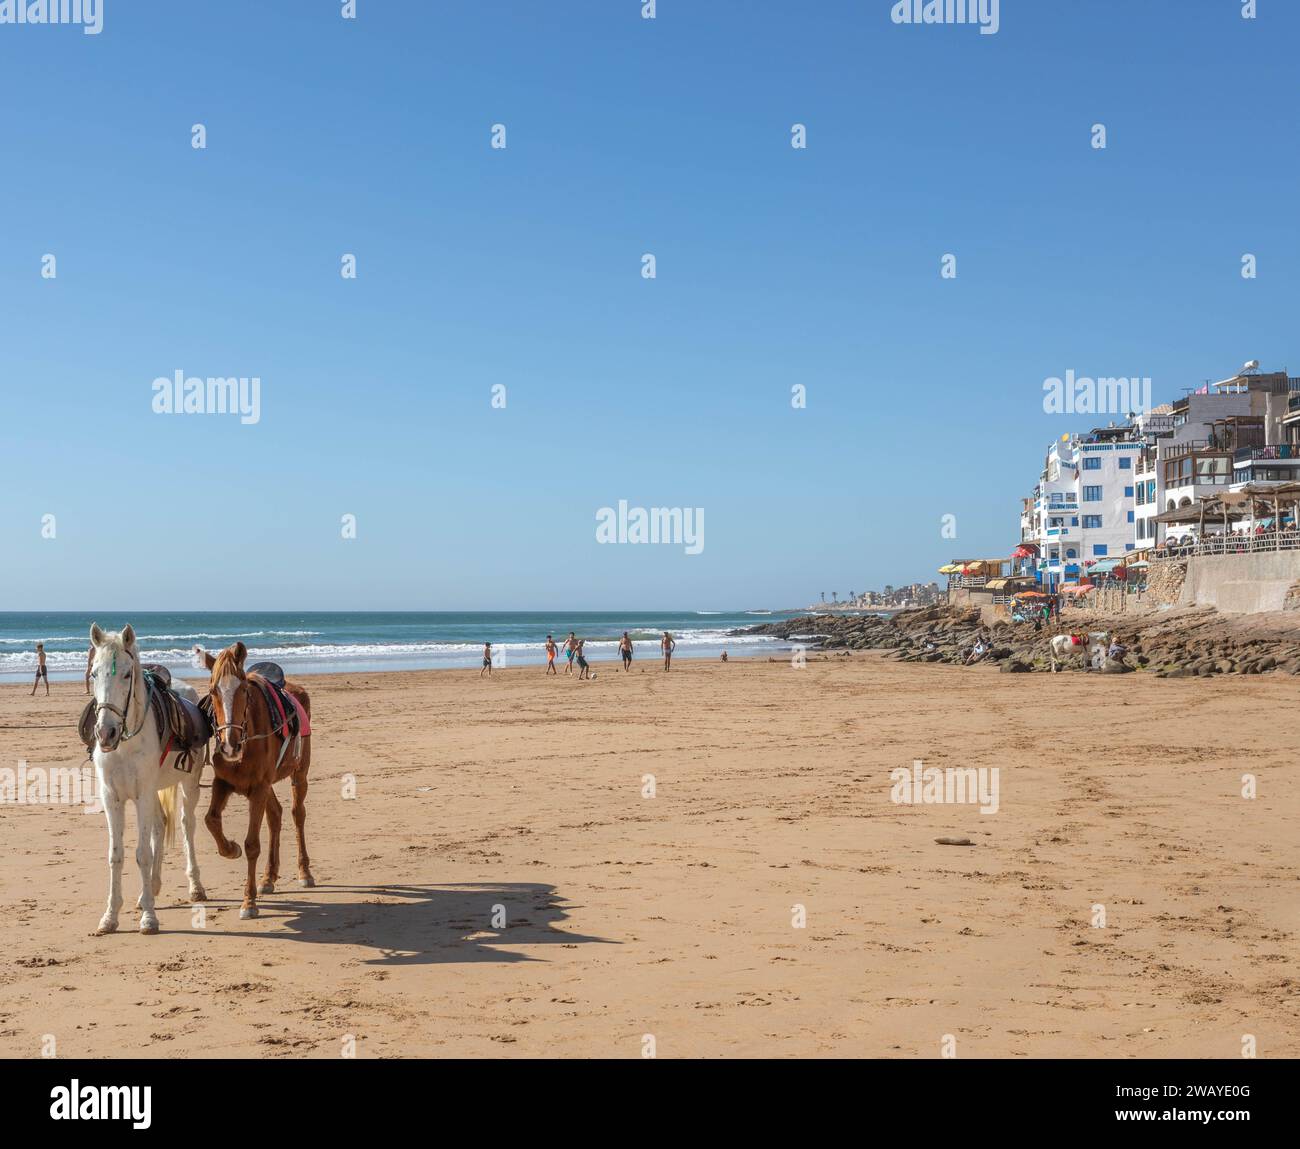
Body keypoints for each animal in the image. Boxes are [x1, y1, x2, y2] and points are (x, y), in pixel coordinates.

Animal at [89, 618, 208, 935]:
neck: (125, 744)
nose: (105, 732)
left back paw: (195, 886)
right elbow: (116, 855)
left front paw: (149, 919)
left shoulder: (142, 795)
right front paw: (110, 917)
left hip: (189, 785)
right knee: (159, 825)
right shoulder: (112, 797)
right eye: (94, 673)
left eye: (127, 674)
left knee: (186, 825)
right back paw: (150, 891)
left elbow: (142, 854)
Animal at [197, 642, 314, 920]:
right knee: (276, 815)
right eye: (213, 690)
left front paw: (248, 902)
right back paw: (269, 877)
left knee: (297, 815)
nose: (229, 745)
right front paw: (230, 848)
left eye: (243, 690)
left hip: (299, 774)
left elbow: (252, 845)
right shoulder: (223, 783)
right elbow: (211, 820)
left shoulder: (258, 789)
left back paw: (304, 871)